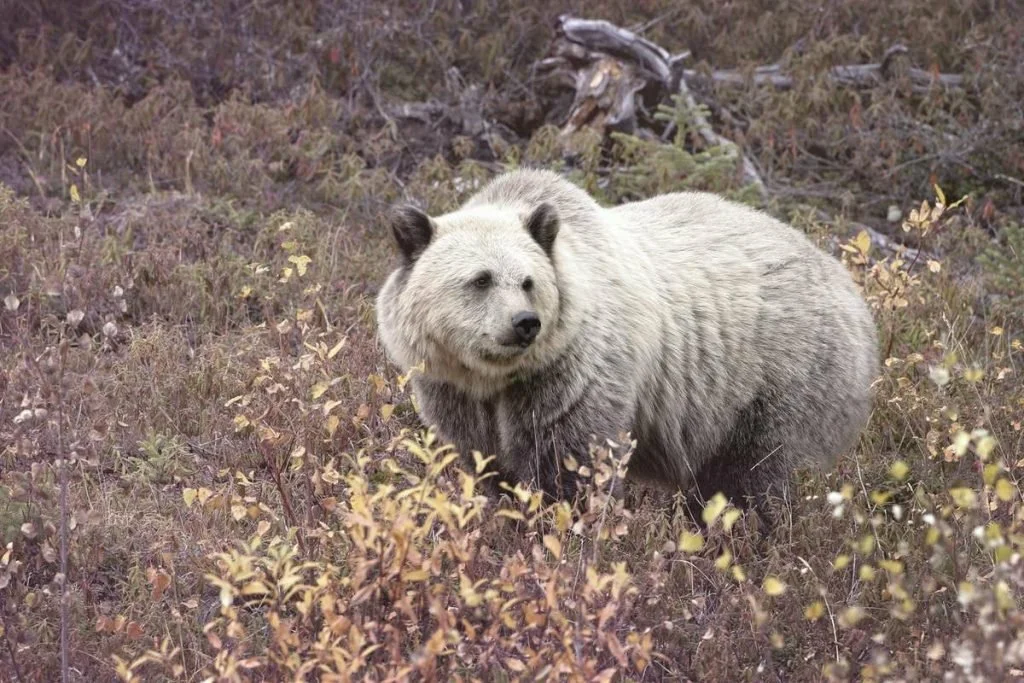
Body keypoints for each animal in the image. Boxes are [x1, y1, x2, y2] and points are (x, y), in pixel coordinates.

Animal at [376, 167, 880, 516]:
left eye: (527, 281)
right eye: (480, 279)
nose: (525, 323)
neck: (495, 378)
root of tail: (850, 288)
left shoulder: (571, 373)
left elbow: (570, 464)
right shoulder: (453, 390)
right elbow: (486, 463)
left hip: (781, 376)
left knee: (756, 472)